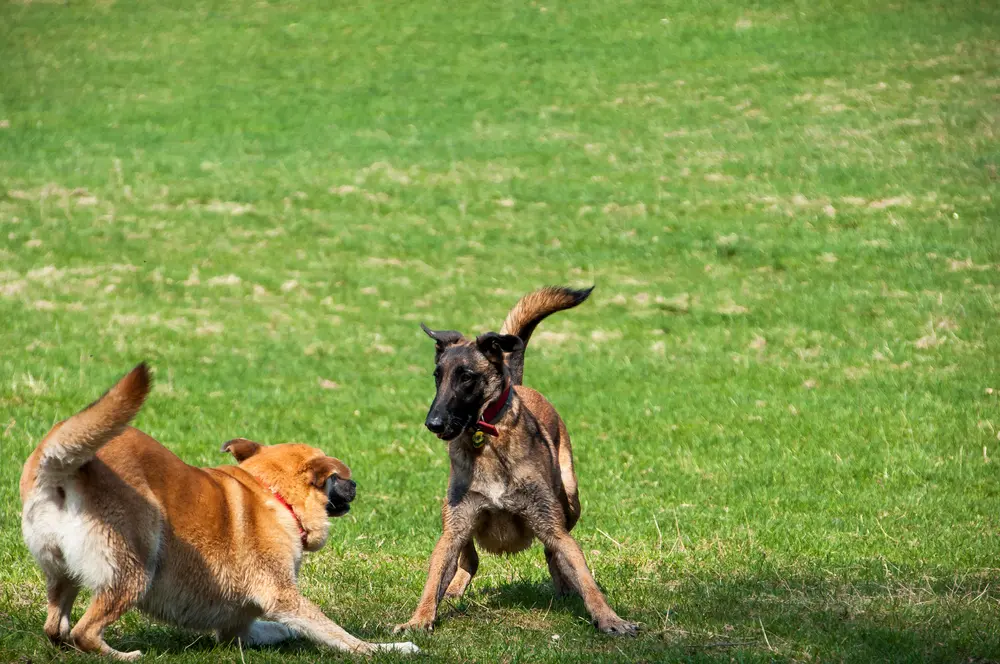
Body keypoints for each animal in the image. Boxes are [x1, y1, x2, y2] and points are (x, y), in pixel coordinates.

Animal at [19, 364, 418, 660]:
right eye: (340, 479)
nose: (357, 486)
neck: (273, 493)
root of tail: (63, 467)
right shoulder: (283, 597)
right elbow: (341, 635)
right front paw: (390, 648)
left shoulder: (237, 628)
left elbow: (285, 629)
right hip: (136, 563)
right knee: (84, 631)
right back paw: (123, 655)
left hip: (61, 571)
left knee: (56, 628)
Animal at [394, 286, 636, 640]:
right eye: (438, 376)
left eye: (466, 377)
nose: (433, 423)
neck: (486, 440)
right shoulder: (453, 530)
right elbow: (432, 580)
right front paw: (418, 620)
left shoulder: (553, 526)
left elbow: (586, 579)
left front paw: (610, 619)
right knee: (470, 560)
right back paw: (453, 590)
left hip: (570, 499)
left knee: (553, 551)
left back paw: (565, 585)